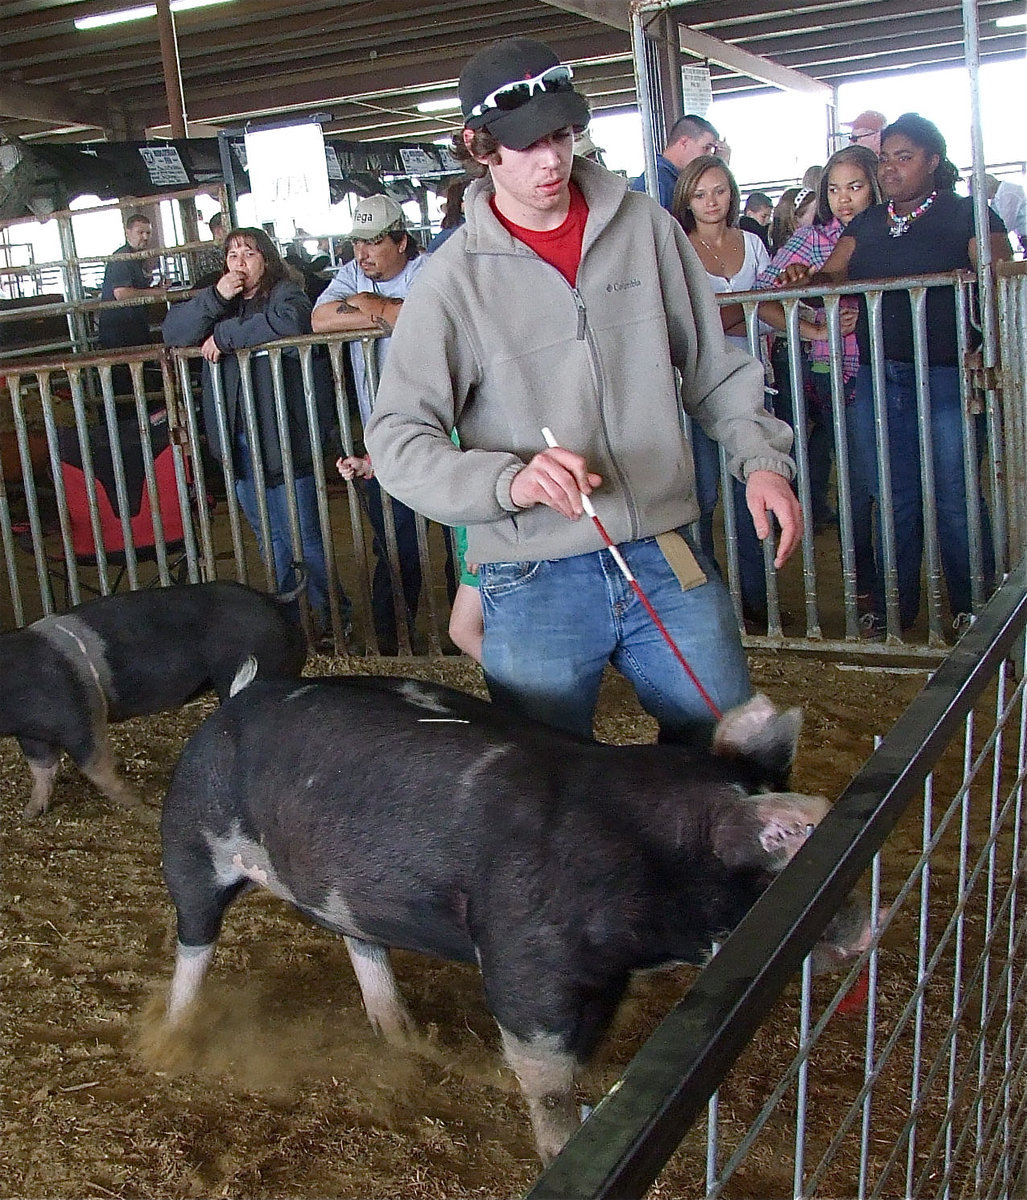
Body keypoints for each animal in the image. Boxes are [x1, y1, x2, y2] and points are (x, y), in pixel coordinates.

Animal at [1, 578, 304, 820]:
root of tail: (271, 597)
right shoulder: (32, 734)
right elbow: (42, 769)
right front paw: (29, 814)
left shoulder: (79, 716)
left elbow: (97, 766)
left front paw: (143, 807)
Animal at [155, 681, 868, 1166]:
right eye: (783, 856)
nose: (866, 930)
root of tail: (233, 702)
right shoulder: (524, 957)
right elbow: (543, 1072)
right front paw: (560, 1149)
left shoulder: (606, 977)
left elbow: (586, 1050)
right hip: (191, 840)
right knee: (194, 941)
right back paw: (167, 1044)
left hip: (343, 885)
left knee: (360, 941)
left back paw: (407, 1038)